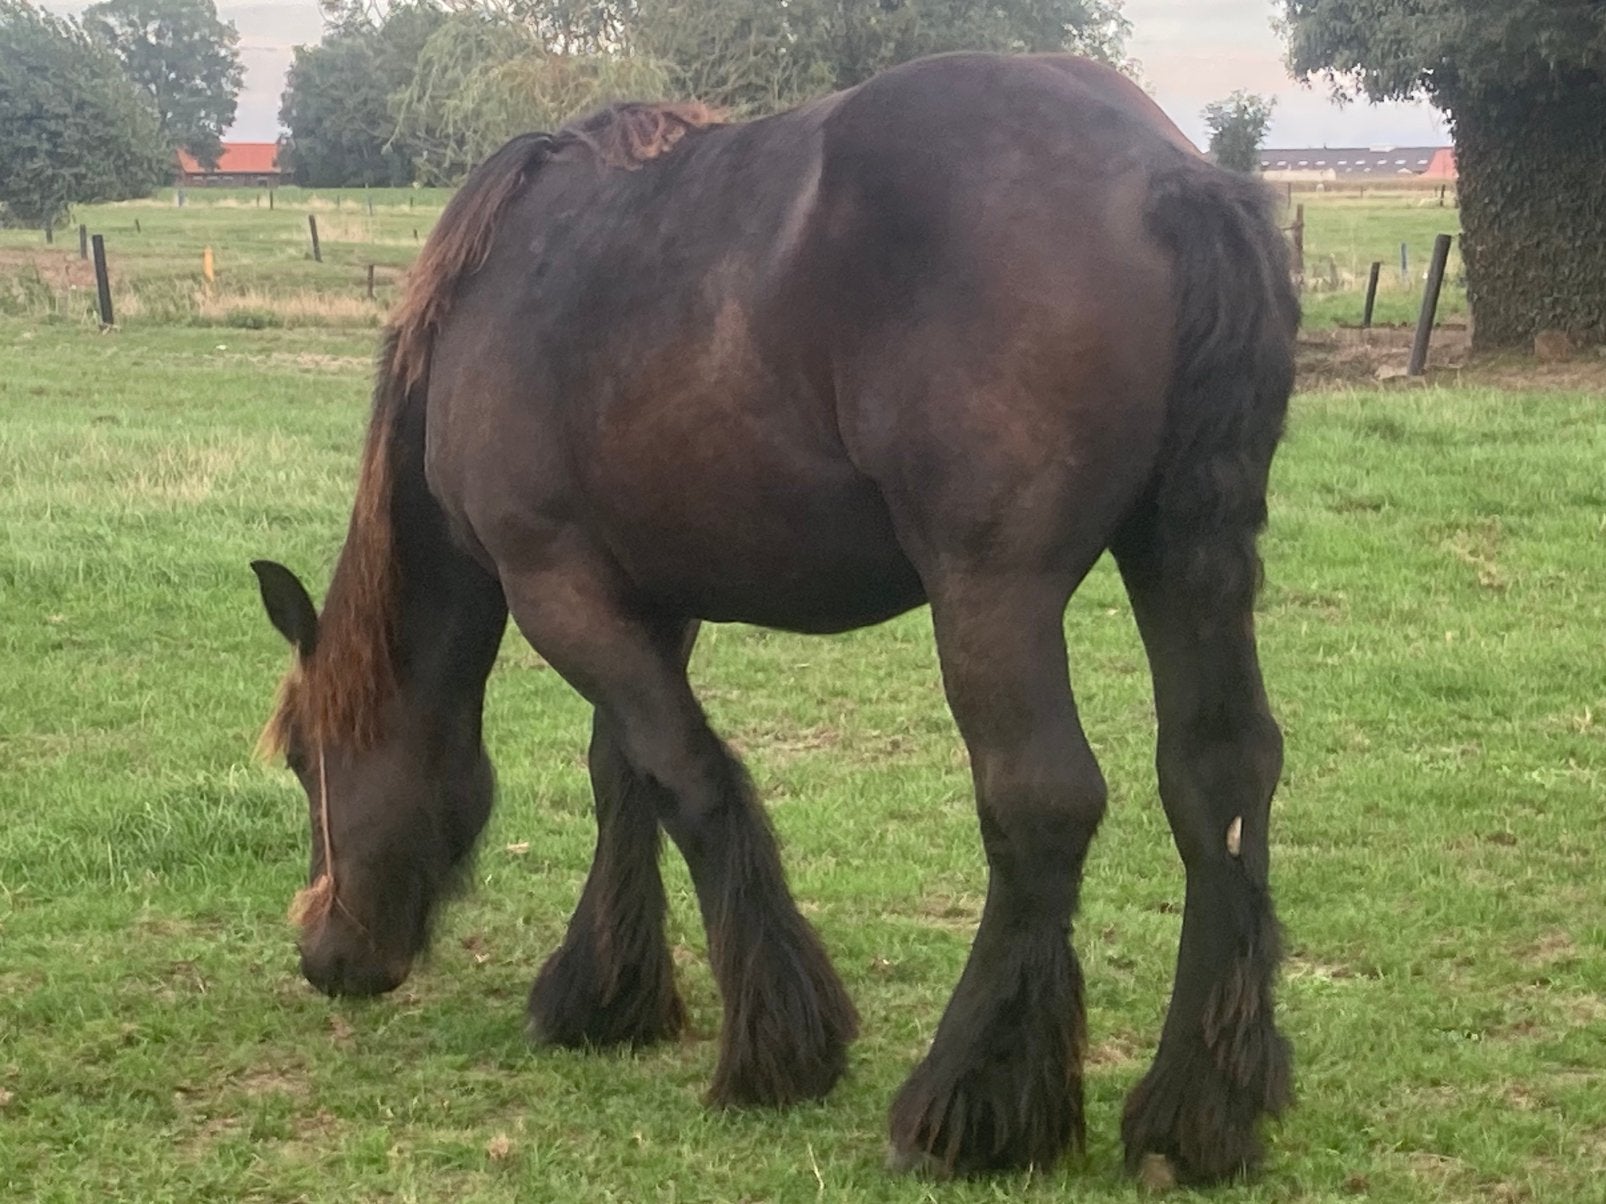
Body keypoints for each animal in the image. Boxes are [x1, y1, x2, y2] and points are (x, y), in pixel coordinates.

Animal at [250, 51, 1298, 1185]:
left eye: (306, 760)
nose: (324, 954)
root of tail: (1164, 173)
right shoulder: (646, 600)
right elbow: (623, 778)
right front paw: (605, 995)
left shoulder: (558, 590)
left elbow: (688, 783)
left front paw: (778, 1046)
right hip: (1178, 558)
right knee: (1217, 778)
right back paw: (1193, 1117)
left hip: (994, 592)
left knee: (1041, 805)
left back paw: (963, 1107)